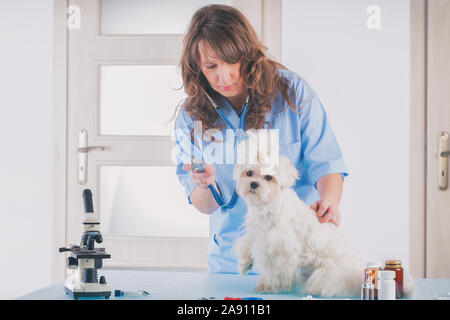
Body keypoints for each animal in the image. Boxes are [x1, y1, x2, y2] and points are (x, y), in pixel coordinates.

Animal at [232, 131, 366, 298]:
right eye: (249, 173)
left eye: (268, 177)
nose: (254, 184)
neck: (268, 206)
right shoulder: (256, 232)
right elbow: (246, 243)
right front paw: (244, 263)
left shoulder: (279, 247)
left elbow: (275, 270)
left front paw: (269, 285)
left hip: (329, 273)